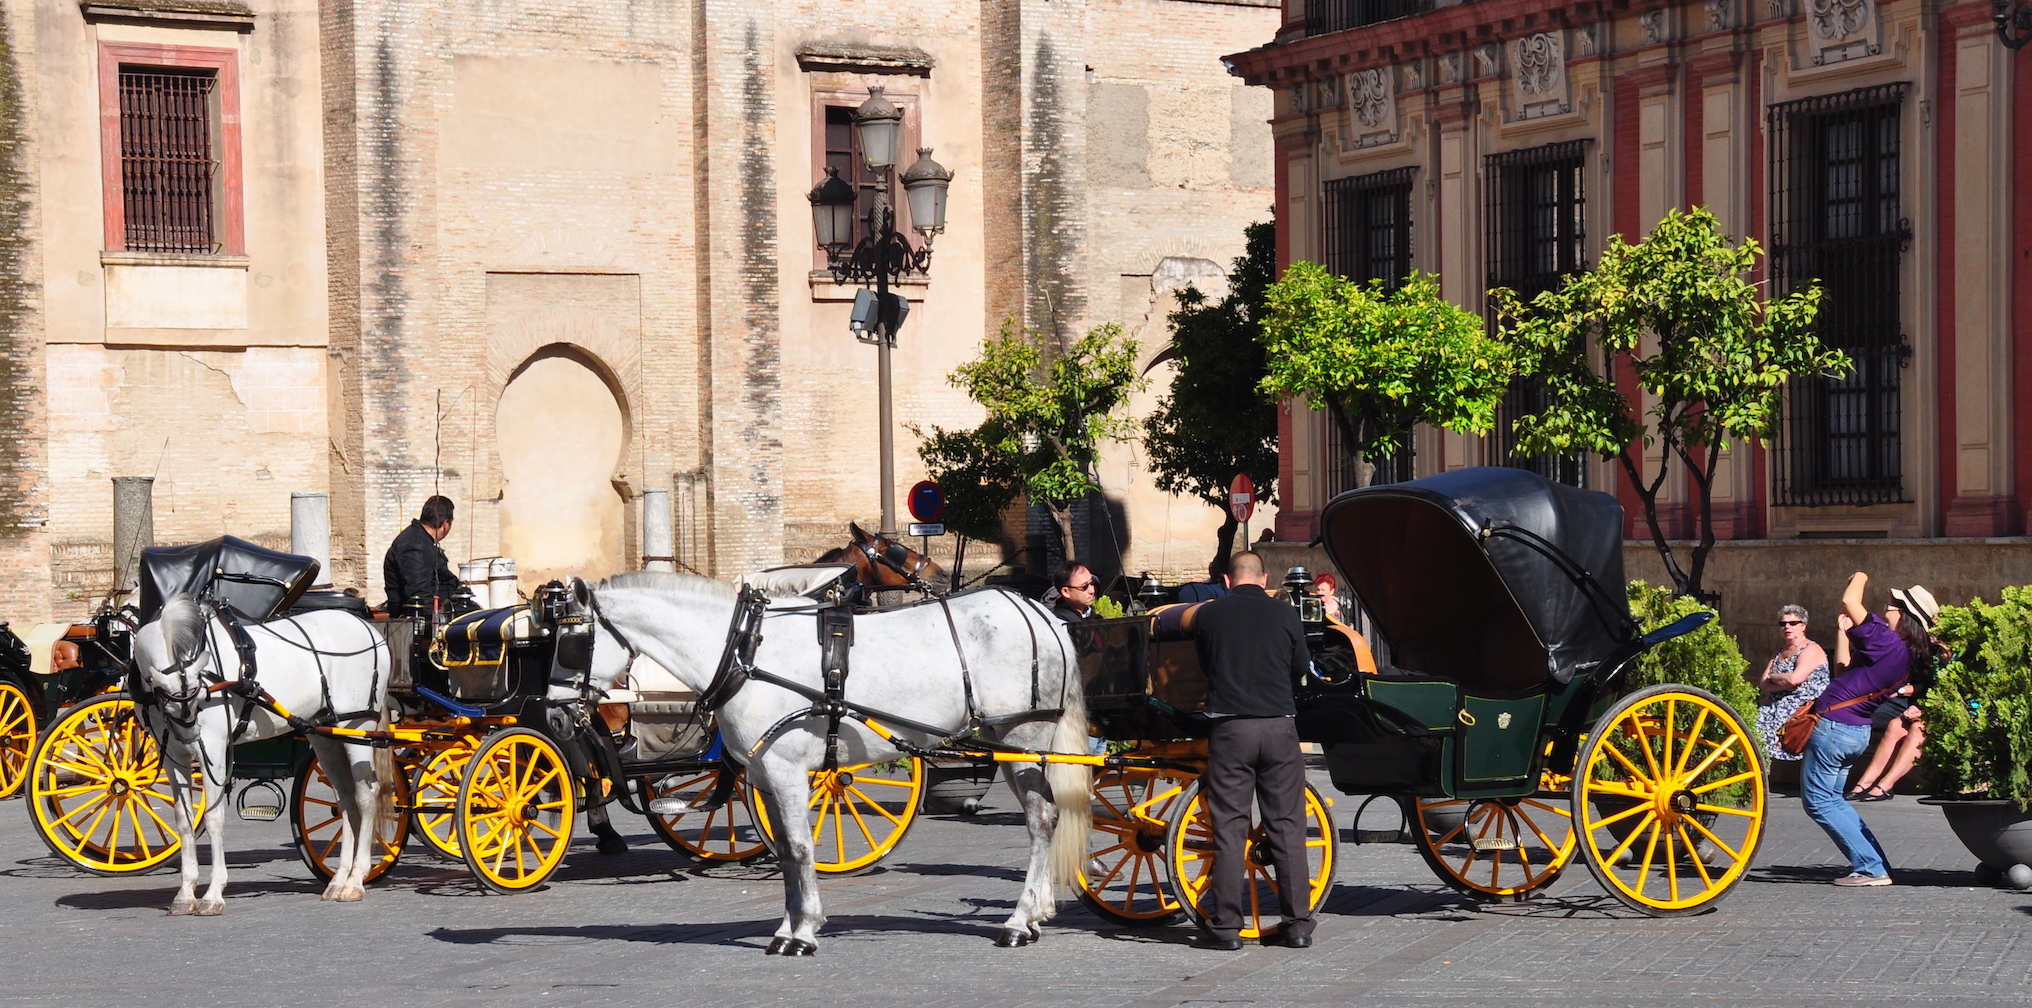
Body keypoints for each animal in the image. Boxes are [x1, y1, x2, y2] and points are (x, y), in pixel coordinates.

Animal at [132, 593, 396, 918]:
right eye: (169, 700)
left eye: (200, 695)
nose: (191, 736)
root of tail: (368, 628)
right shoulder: (172, 755)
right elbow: (184, 821)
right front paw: (185, 893)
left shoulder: (214, 749)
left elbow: (214, 818)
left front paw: (213, 894)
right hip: (325, 734)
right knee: (346, 799)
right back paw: (339, 879)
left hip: (357, 728)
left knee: (365, 795)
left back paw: (357, 878)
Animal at [581, 569, 1089, 955]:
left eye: (573, 637)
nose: (566, 706)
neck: (745, 652)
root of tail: (1041, 614)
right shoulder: (764, 776)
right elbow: (787, 852)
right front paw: (788, 927)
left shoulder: (786, 770)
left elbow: (800, 848)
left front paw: (803, 932)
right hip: (1011, 745)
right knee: (1045, 816)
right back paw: (1036, 912)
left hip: (1023, 737)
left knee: (1041, 820)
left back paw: (1018, 920)